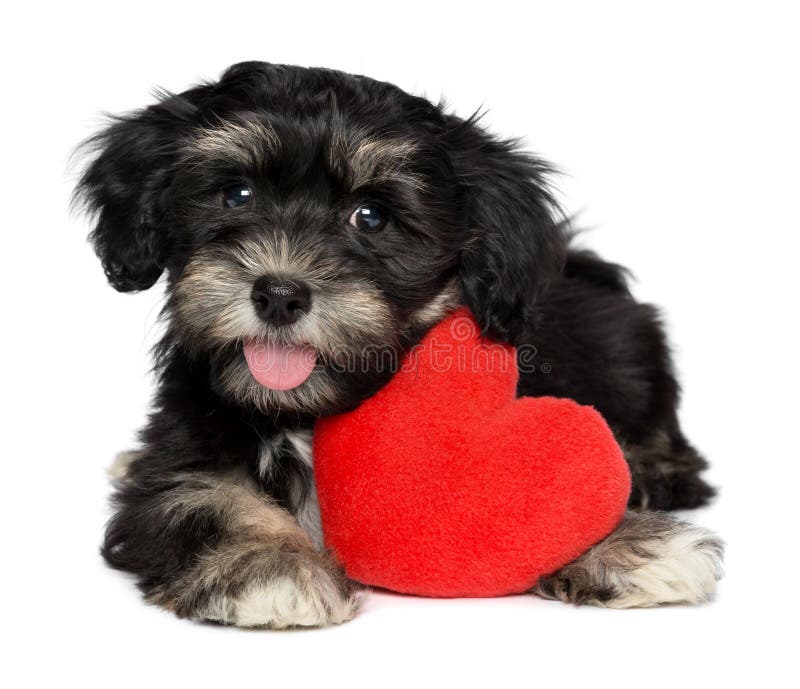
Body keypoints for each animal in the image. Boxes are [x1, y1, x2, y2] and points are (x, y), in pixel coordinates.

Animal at [76, 61, 724, 628]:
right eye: (237, 194)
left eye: (372, 216)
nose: (280, 294)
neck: (311, 409)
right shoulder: (179, 458)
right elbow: (207, 498)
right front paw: (271, 567)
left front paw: (629, 544)